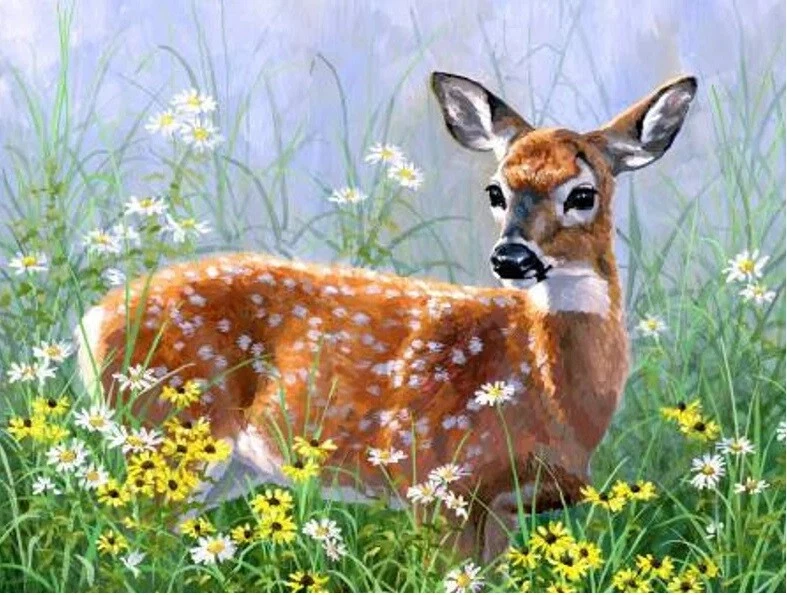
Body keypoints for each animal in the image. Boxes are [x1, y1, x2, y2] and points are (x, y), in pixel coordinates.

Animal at [76, 71, 696, 560]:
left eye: (583, 194)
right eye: (495, 191)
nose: (511, 258)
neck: (548, 391)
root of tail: (91, 323)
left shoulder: (502, 507)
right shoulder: (438, 482)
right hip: (170, 437)